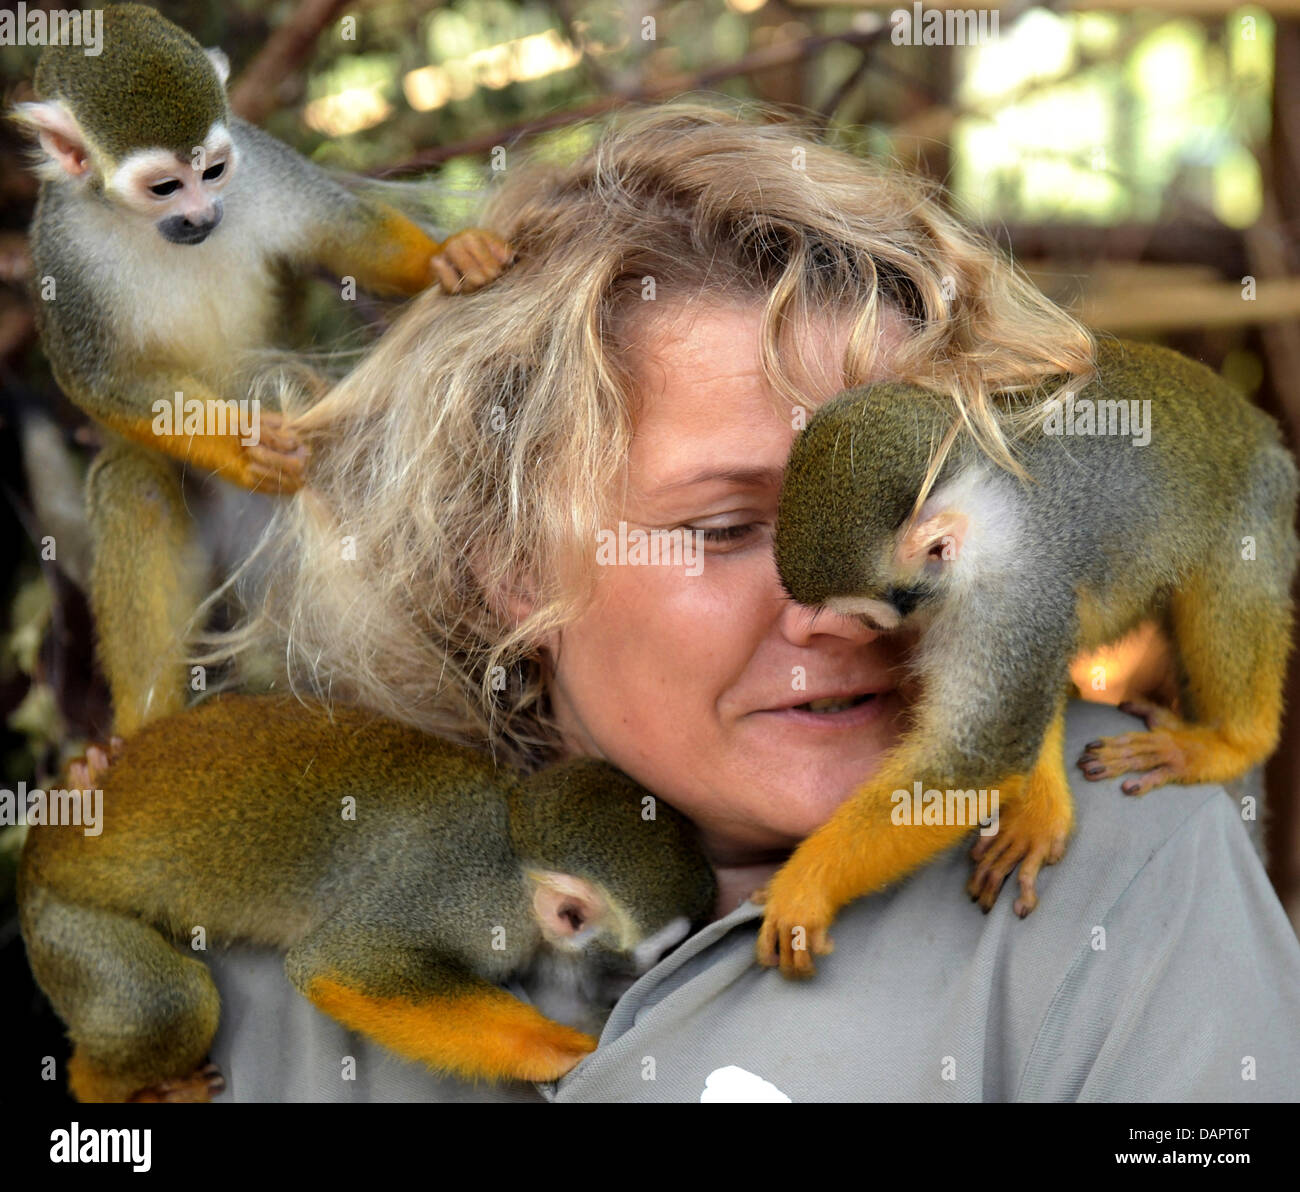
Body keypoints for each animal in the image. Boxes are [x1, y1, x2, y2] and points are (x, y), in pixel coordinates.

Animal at [10, 4, 513, 737]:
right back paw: (140, 727)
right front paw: (243, 442)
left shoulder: (258, 163)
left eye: (215, 171)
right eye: (166, 186)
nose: (201, 214)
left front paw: (446, 258)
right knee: (137, 483)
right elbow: (97, 379)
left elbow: (341, 234)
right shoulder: (58, 248)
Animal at [18, 693, 716, 1102]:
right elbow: (341, 962)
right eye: (658, 953)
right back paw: (104, 1088)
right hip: (60, 920)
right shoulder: (464, 895)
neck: (517, 858)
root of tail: (39, 844)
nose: (646, 978)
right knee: (172, 1004)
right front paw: (559, 1048)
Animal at [754, 335, 1299, 977]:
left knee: (1227, 578)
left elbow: (982, 753)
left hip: (1259, 504)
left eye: (868, 620)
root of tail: (1257, 427)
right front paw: (1041, 807)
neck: (991, 512)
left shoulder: (1008, 593)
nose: (887, 636)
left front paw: (806, 885)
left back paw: (1233, 742)